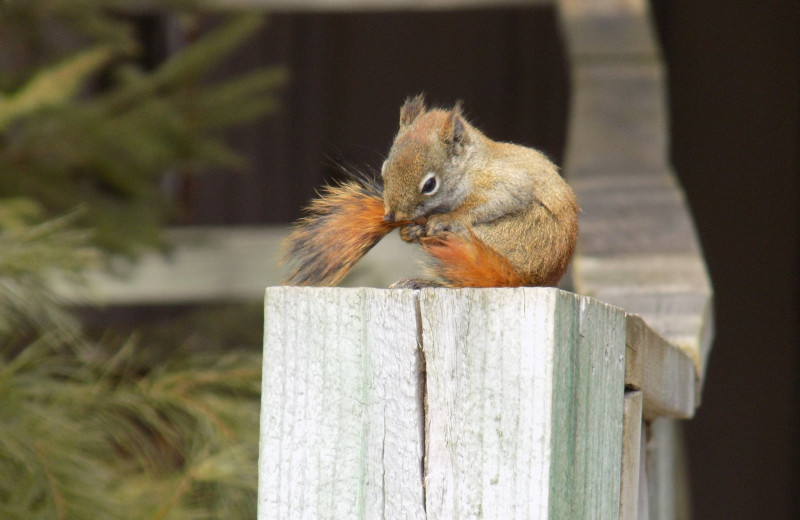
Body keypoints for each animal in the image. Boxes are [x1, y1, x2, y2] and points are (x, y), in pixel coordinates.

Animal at [280, 93, 576, 288]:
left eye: (430, 185)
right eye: (385, 169)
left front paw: (446, 218)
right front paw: (408, 230)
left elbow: (501, 197)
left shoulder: (504, 181)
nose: (391, 216)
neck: (470, 166)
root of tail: (525, 278)